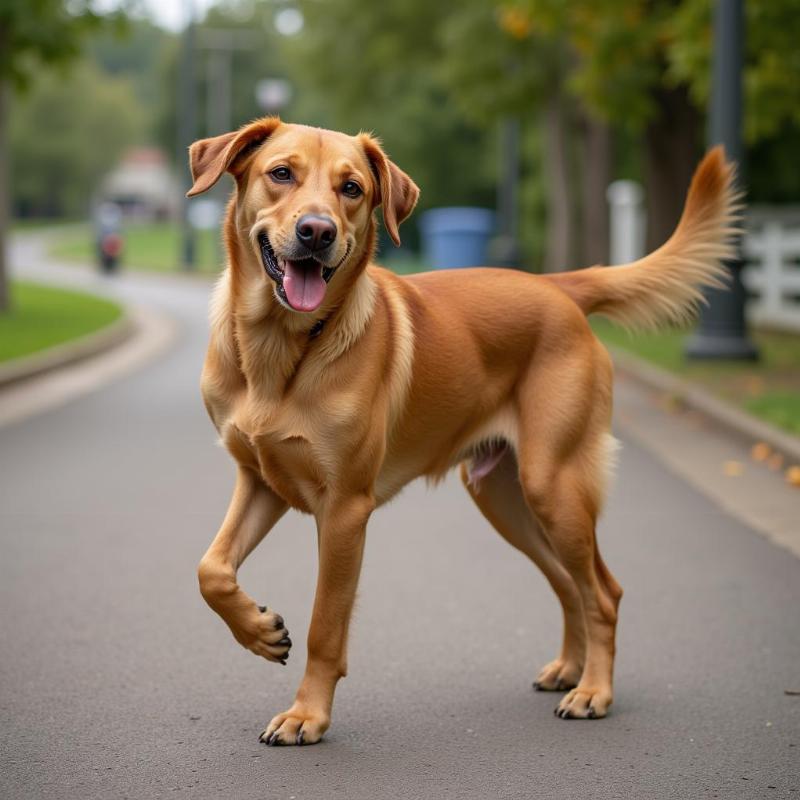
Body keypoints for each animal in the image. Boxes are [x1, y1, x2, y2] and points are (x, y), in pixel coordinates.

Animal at [188, 117, 736, 744]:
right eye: (281, 173)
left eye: (351, 189)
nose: (317, 232)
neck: (279, 349)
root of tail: (557, 287)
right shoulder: (260, 480)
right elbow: (210, 569)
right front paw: (259, 631)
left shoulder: (345, 509)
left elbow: (325, 625)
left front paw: (308, 714)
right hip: (504, 498)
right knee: (568, 583)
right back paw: (570, 669)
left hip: (554, 485)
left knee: (603, 592)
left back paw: (595, 690)